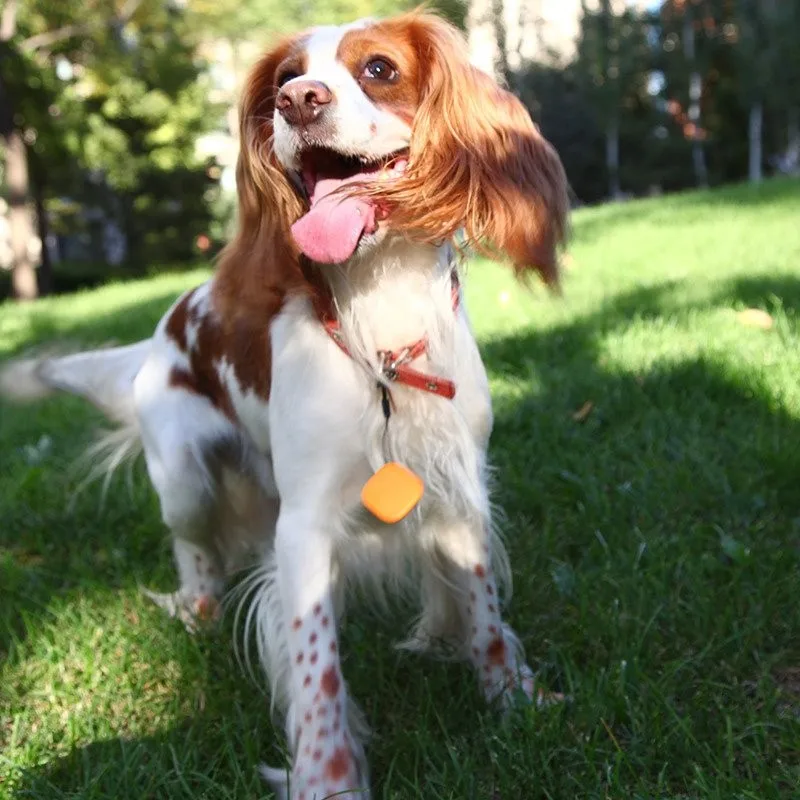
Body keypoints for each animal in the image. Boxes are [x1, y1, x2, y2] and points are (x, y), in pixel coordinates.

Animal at [3, 12, 572, 800]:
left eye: (379, 69)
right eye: (283, 79)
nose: (298, 101)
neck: (379, 320)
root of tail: (162, 325)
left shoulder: (459, 492)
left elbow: (483, 611)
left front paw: (512, 698)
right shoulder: (303, 527)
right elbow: (317, 670)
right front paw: (329, 780)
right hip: (184, 483)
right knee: (194, 551)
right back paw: (196, 612)